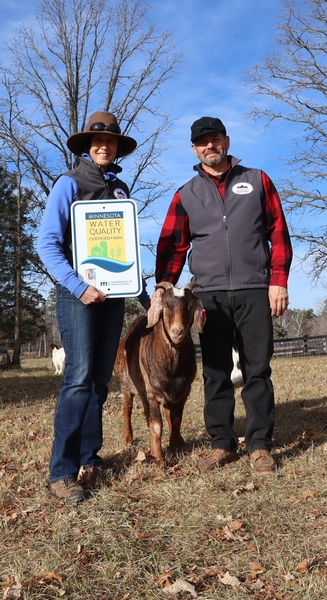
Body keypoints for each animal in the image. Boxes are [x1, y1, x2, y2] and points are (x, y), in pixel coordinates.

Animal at [115, 282, 206, 464]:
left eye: (191, 306)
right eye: (164, 306)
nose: (177, 332)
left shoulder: (183, 391)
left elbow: (175, 419)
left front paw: (175, 446)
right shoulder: (151, 393)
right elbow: (156, 425)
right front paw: (159, 457)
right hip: (126, 385)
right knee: (128, 408)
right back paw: (128, 439)